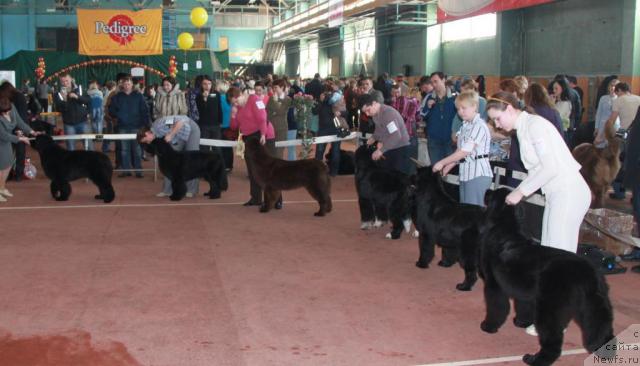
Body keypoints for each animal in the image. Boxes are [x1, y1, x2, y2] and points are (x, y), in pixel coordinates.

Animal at [480, 189, 616, 366]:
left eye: (494, 194)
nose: (487, 191)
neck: (506, 231)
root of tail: (588, 273)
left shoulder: (493, 284)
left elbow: (496, 308)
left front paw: (489, 326)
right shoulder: (525, 292)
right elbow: (523, 306)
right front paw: (521, 322)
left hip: (550, 309)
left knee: (553, 341)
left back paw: (535, 359)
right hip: (592, 307)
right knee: (601, 328)